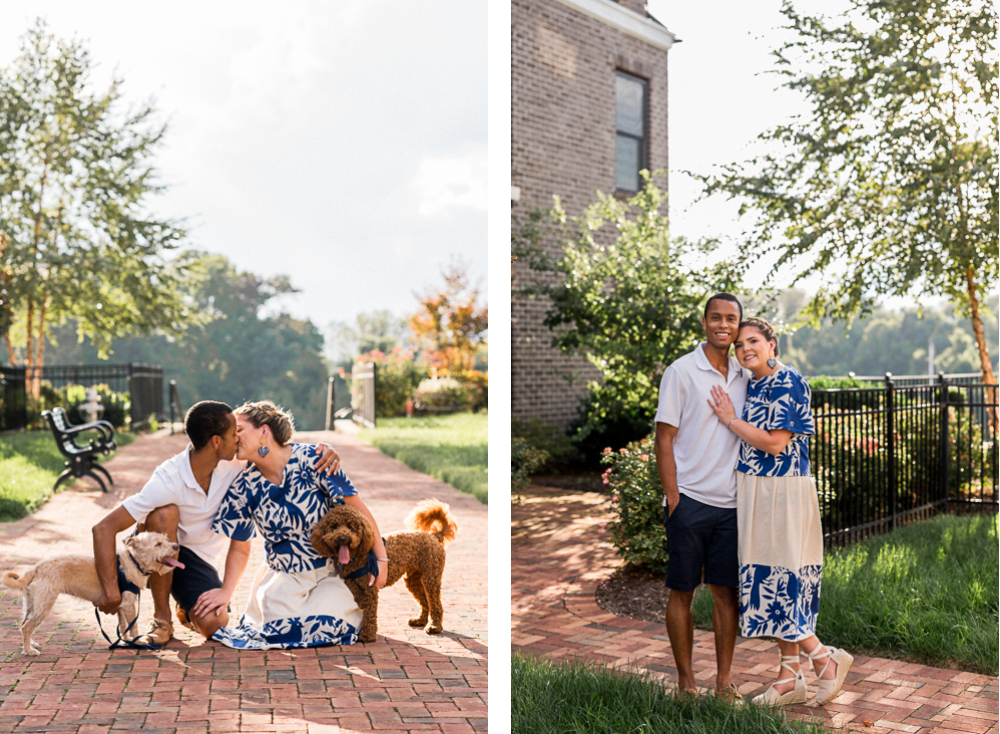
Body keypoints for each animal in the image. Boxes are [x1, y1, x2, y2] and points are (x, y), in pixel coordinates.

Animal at [1, 532, 181, 660]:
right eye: (158, 544)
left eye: (166, 539)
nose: (177, 546)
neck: (134, 561)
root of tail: (35, 568)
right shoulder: (129, 605)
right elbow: (133, 627)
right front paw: (136, 643)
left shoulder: (121, 606)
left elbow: (123, 627)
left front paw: (125, 642)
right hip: (43, 605)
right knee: (27, 627)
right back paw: (28, 651)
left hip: (32, 604)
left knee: (23, 625)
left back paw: (30, 644)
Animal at [310, 500, 458, 644]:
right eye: (334, 526)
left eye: (351, 527)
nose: (342, 538)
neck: (356, 556)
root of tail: (434, 536)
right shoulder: (351, 582)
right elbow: (358, 596)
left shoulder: (371, 588)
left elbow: (370, 612)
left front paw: (368, 635)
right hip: (413, 580)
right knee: (424, 601)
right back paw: (420, 620)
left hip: (431, 577)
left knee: (435, 604)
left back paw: (434, 626)